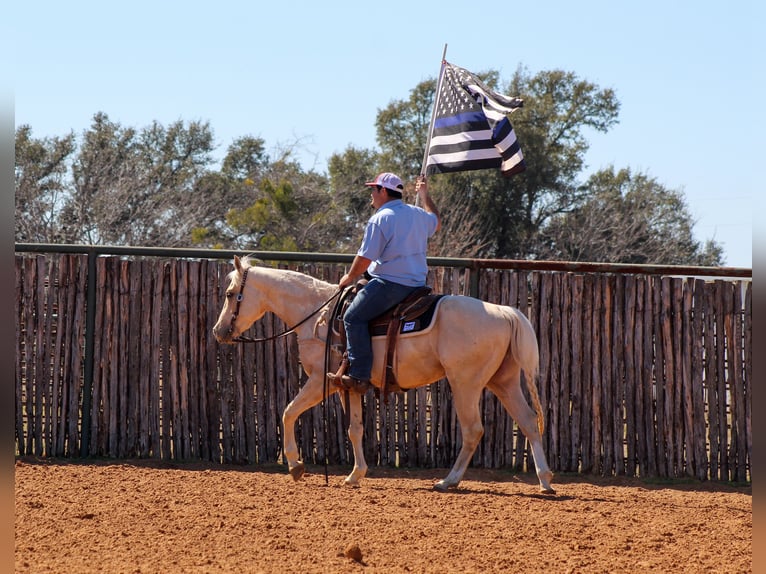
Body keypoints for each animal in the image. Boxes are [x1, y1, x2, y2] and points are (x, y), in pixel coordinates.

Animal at [213, 258, 556, 496]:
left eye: (230, 294)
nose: (219, 331)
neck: (318, 315)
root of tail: (504, 312)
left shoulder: (319, 381)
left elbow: (288, 412)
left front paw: (296, 465)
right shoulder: (349, 386)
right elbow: (355, 429)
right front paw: (355, 475)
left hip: (465, 383)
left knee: (473, 430)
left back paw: (448, 481)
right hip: (503, 381)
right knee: (528, 421)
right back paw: (545, 481)